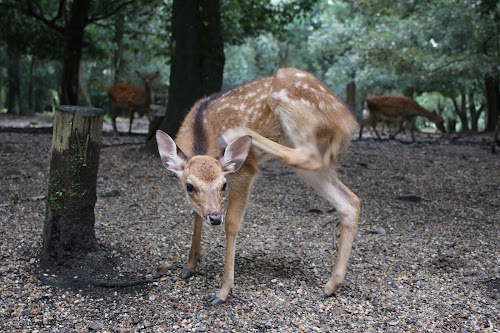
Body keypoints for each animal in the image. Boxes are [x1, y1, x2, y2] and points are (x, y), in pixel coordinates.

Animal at [155, 67, 360, 304]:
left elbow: (232, 224)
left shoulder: (244, 173)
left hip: (287, 92)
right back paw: (329, 286)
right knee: (349, 201)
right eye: (189, 186)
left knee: (310, 156)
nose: (215, 218)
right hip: (311, 164)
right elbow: (196, 215)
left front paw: (222, 292)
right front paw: (190, 266)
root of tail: (349, 122)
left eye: (223, 185)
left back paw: (235, 132)